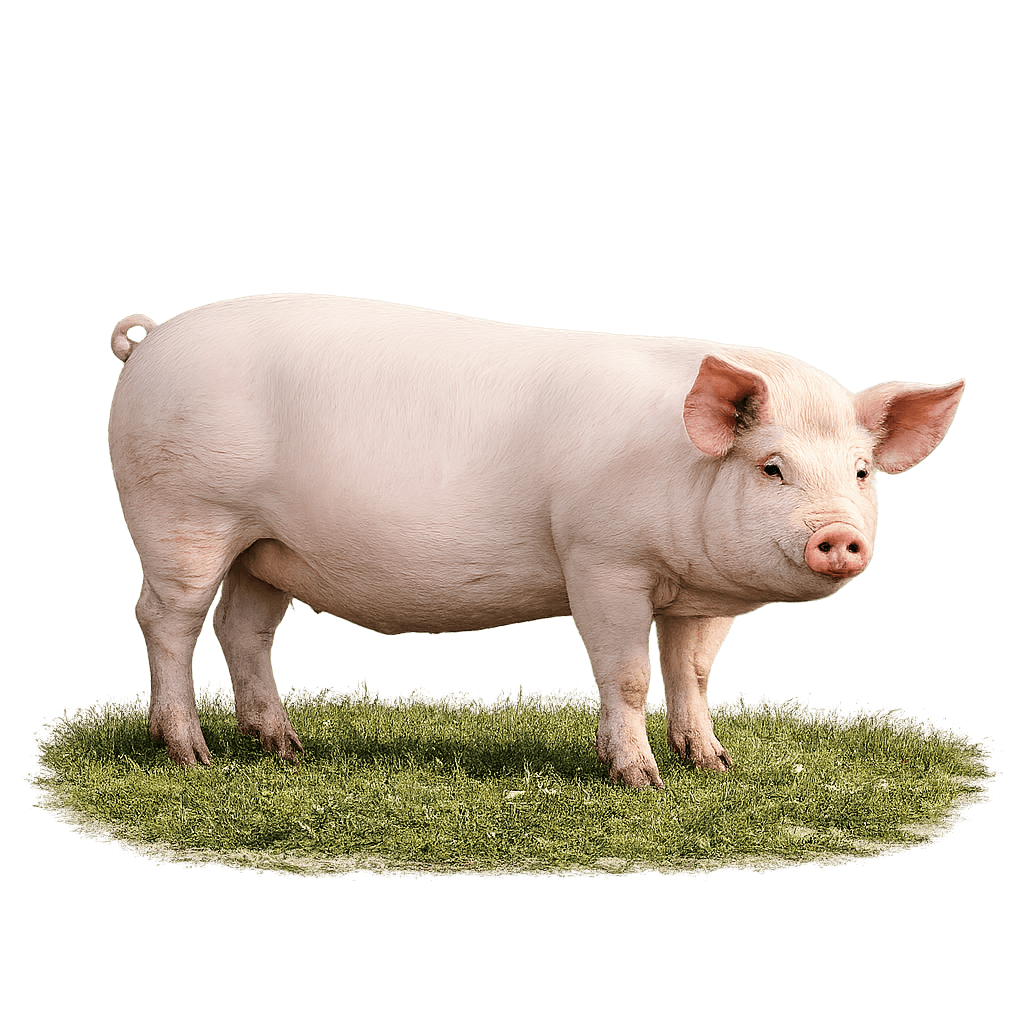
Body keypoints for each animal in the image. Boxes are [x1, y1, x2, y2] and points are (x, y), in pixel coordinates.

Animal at [108, 294, 965, 788]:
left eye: (861, 472)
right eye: (772, 466)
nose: (839, 538)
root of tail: (149, 343)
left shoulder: (699, 597)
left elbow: (693, 674)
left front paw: (716, 767)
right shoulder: (602, 561)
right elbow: (627, 676)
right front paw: (640, 782)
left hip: (265, 546)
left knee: (243, 628)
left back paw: (286, 750)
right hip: (183, 514)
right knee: (167, 620)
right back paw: (190, 757)